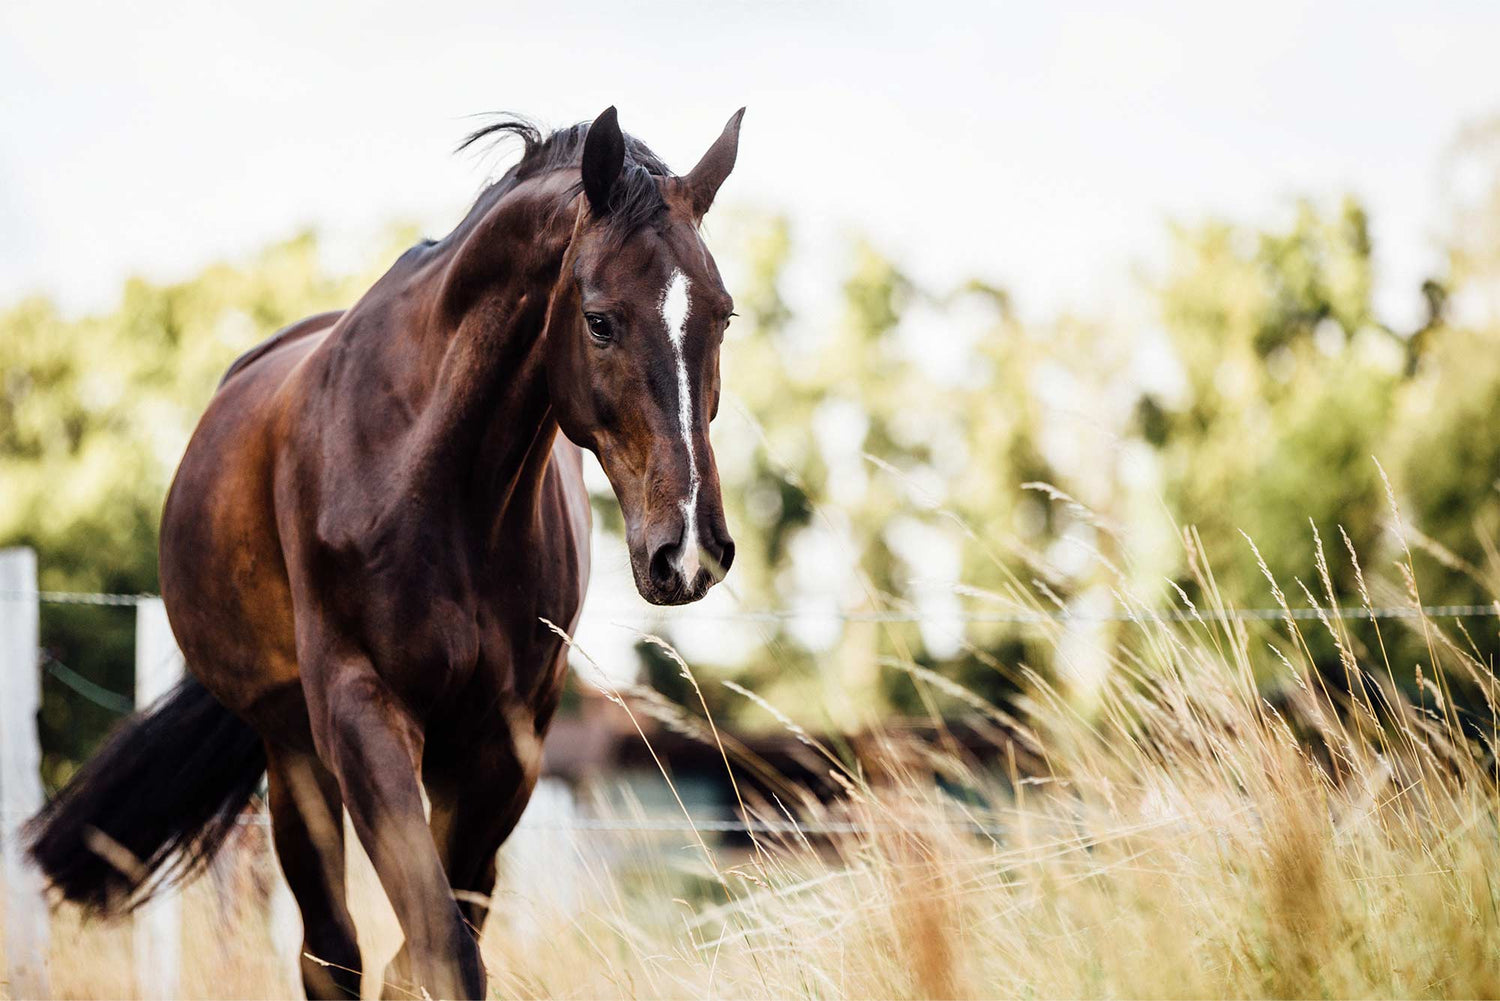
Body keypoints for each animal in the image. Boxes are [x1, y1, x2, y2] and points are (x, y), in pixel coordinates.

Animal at [29, 105, 744, 996]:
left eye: (723, 315)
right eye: (601, 320)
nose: (688, 549)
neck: (433, 477)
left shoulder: (504, 746)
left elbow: (434, 947)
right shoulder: (359, 712)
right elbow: (438, 947)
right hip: (292, 755)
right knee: (329, 951)